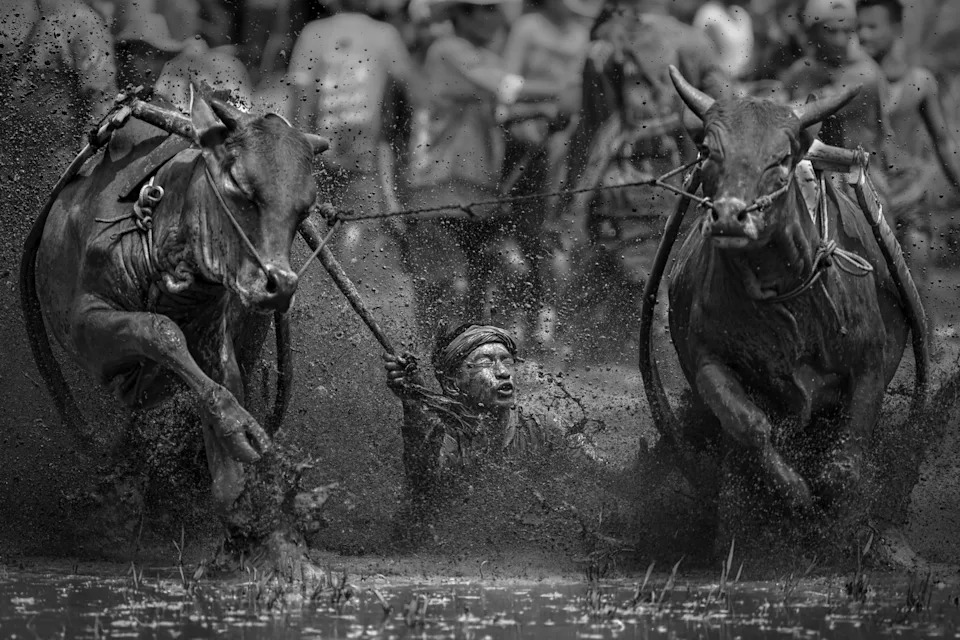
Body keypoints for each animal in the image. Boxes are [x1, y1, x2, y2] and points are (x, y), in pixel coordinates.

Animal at [21, 90, 328, 512]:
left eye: (305, 208)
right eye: (239, 184)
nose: (279, 285)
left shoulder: (216, 336)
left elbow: (227, 451)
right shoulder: (85, 327)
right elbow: (159, 330)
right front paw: (239, 426)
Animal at [658, 66, 913, 514]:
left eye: (780, 158)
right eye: (708, 151)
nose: (729, 217)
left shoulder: (870, 359)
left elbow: (845, 460)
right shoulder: (706, 359)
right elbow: (749, 424)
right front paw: (793, 489)